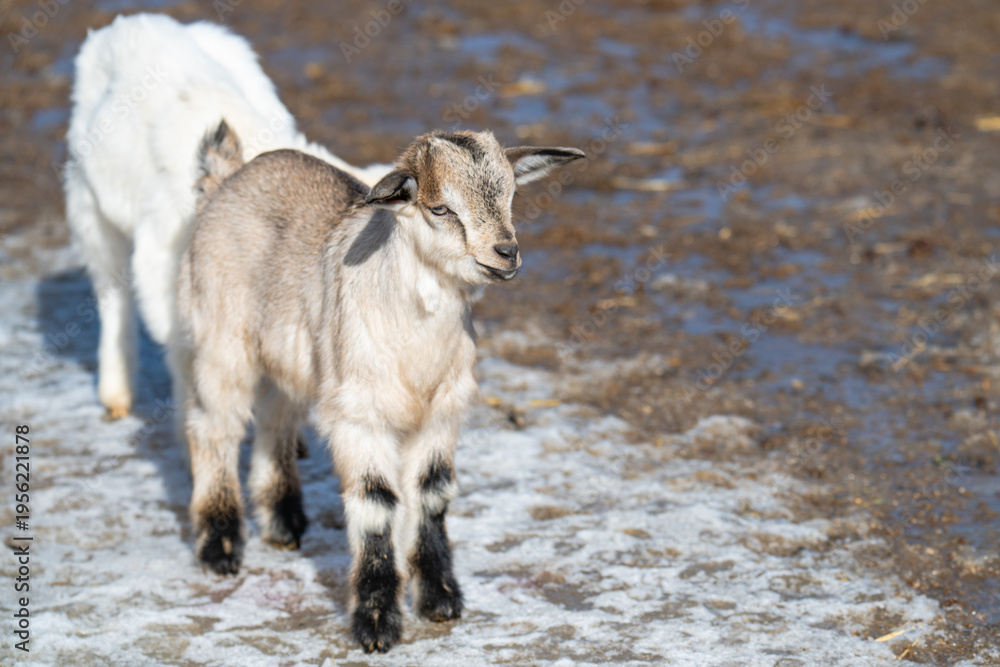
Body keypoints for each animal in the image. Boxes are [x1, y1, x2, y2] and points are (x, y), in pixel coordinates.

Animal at [175, 122, 583, 652]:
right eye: (440, 208)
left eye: (512, 196)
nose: (507, 253)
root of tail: (227, 179)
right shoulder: (360, 416)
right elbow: (375, 504)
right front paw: (375, 621)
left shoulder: (440, 414)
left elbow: (431, 495)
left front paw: (439, 599)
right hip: (222, 338)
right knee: (214, 427)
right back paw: (220, 546)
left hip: (289, 358)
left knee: (275, 417)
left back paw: (283, 524)